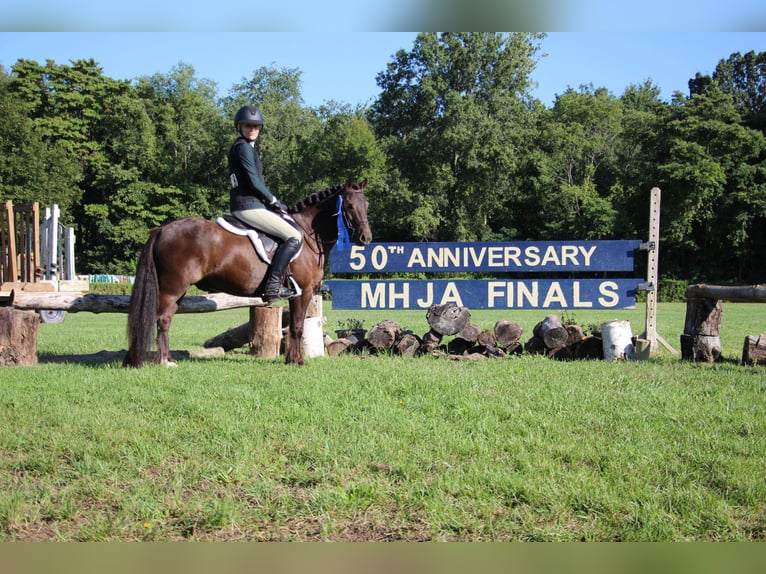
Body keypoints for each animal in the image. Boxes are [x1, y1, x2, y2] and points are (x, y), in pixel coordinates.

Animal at [123, 181, 372, 368]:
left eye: (366, 204)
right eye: (349, 205)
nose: (365, 238)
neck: (308, 234)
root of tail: (162, 229)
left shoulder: (298, 294)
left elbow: (295, 326)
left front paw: (291, 359)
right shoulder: (304, 291)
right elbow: (298, 326)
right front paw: (297, 361)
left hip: (177, 290)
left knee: (165, 319)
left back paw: (165, 359)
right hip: (171, 288)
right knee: (158, 318)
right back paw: (159, 361)